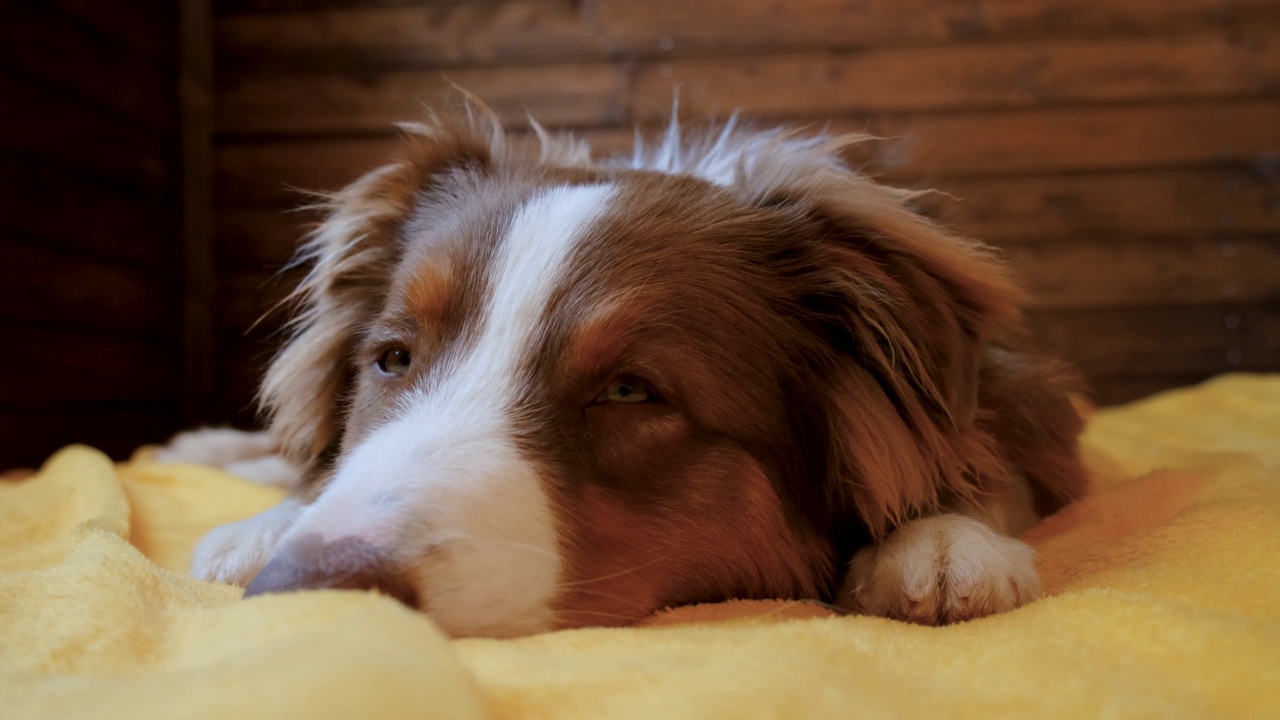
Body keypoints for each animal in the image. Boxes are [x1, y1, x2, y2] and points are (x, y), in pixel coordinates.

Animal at [154, 105, 1085, 632]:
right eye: (391, 359)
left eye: (631, 391)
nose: (309, 591)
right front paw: (268, 521)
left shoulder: (1027, 408)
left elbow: (978, 462)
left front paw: (943, 535)